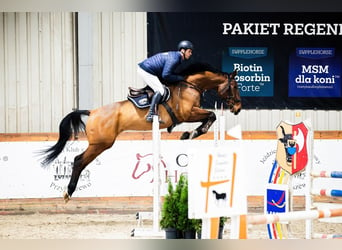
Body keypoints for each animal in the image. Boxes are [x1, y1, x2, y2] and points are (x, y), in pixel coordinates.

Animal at [40, 63, 240, 203]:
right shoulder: (187, 114)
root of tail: (93, 112)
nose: (238, 107)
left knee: (79, 161)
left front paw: (189, 134)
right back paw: (68, 192)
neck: (190, 86)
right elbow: (211, 115)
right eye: (235, 87)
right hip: (101, 144)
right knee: (79, 160)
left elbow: (210, 117)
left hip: (101, 143)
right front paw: (191, 134)